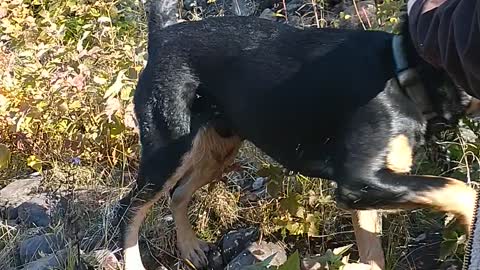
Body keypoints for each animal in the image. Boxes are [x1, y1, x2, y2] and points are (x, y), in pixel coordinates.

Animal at [115, 1, 480, 268]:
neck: (401, 68)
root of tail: (163, 36)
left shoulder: (371, 190)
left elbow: (373, 255)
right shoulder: (358, 180)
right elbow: (461, 190)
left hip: (218, 149)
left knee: (178, 194)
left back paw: (190, 247)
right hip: (167, 150)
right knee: (131, 210)